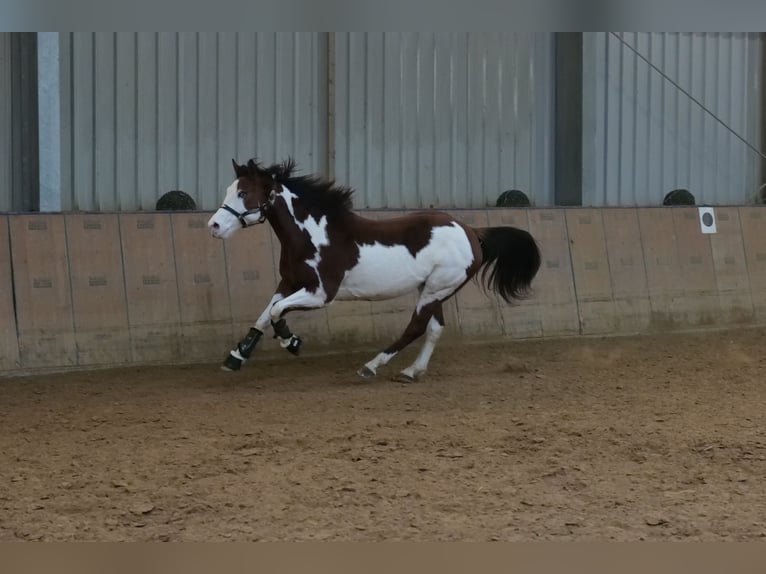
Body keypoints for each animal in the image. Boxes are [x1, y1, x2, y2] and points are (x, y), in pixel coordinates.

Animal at [207, 158, 541, 382]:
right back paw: (412, 371)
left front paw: (291, 342)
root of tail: (472, 231)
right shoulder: (289, 282)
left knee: (415, 327)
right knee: (434, 328)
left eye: (244, 193)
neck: (314, 234)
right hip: (434, 289)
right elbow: (266, 313)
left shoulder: (321, 293)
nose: (214, 226)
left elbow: (277, 313)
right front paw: (236, 356)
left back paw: (371, 366)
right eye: (230, 190)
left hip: (437, 288)